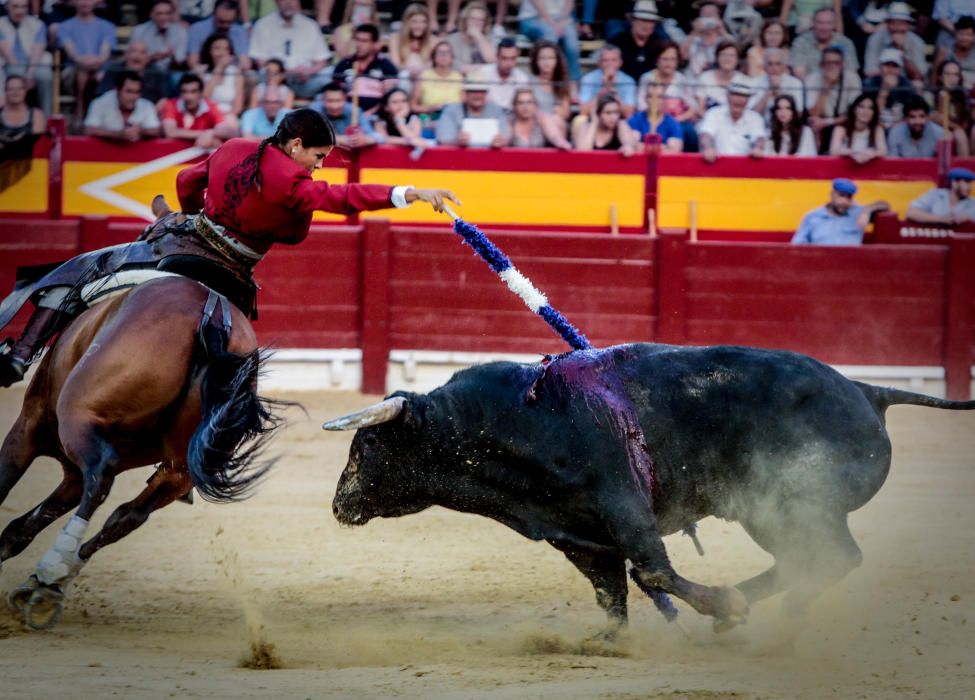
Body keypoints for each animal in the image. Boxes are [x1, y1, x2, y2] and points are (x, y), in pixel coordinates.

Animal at [0, 274, 282, 628]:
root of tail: (213, 316)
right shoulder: (71, 473)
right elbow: (25, 525)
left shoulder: (29, 425)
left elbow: (6, 482)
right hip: (180, 468)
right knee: (128, 514)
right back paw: (49, 584)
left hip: (78, 418)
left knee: (102, 474)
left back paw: (51, 572)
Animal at [324, 344, 972, 636]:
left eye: (367, 445)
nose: (339, 504)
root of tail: (867, 390)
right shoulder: (578, 533)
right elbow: (611, 589)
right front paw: (606, 641)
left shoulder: (622, 507)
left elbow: (652, 573)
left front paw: (717, 604)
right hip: (769, 513)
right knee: (813, 560)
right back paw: (748, 614)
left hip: (794, 505)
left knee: (832, 558)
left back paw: (757, 615)